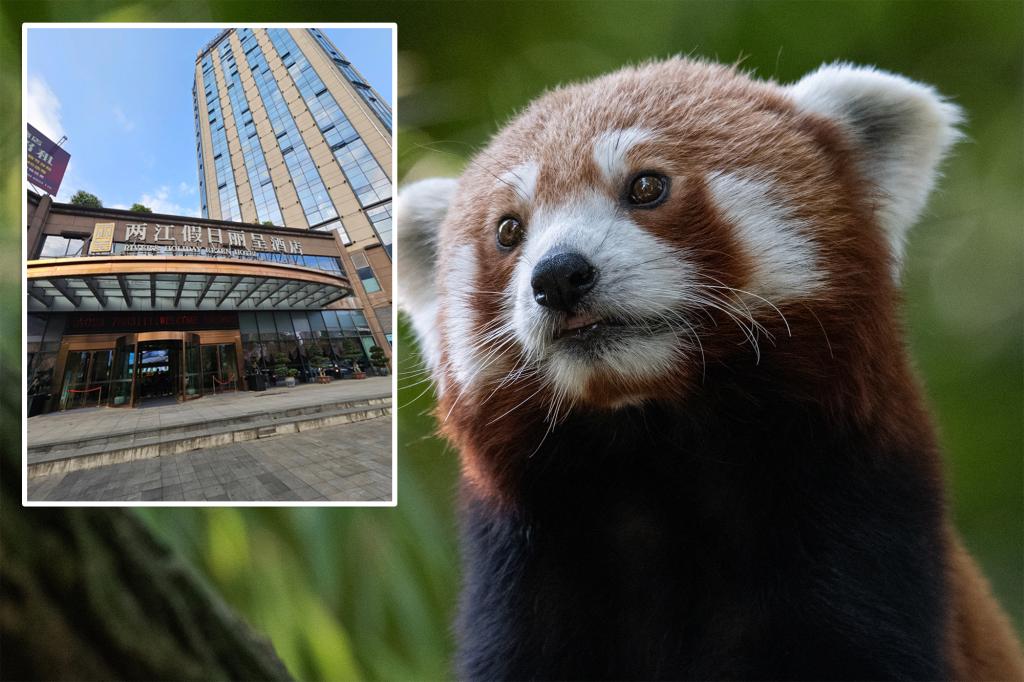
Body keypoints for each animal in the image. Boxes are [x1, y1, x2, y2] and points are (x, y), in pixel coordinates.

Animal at [397, 57, 1024, 680]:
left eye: (646, 186)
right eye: (508, 230)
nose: (557, 276)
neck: (655, 451)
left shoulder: (859, 543)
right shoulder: (529, 588)